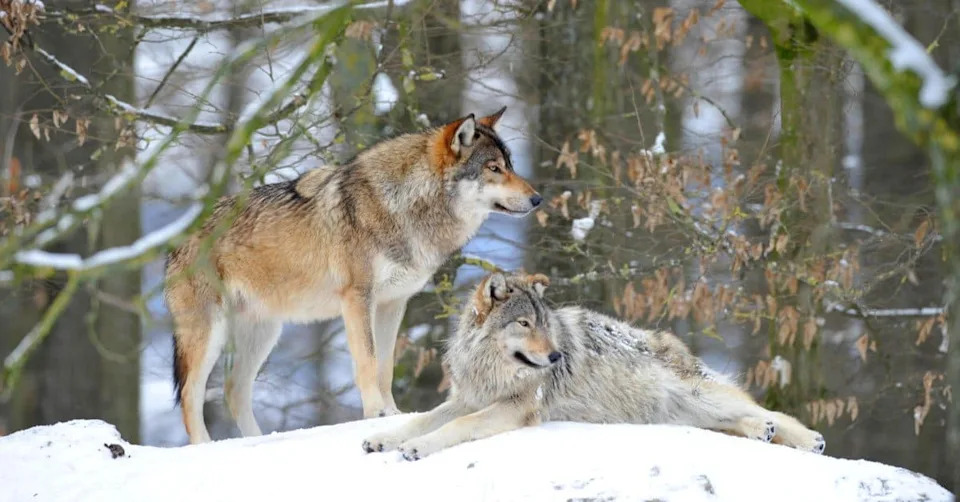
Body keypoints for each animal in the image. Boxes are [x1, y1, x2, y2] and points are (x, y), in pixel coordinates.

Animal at [164, 108, 541, 444]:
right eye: (494, 168)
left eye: (510, 165)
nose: (537, 198)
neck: (404, 206)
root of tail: (175, 237)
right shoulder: (357, 298)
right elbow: (368, 362)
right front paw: (375, 414)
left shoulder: (393, 303)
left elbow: (386, 367)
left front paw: (393, 414)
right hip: (209, 334)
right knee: (190, 397)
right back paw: (205, 446)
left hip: (265, 332)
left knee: (233, 389)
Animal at [362, 272, 825, 460]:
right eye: (524, 324)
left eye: (545, 324)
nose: (555, 356)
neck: (491, 368)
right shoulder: (468, 399)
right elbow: (420, 420)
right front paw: (383, 438)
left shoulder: (516, 408)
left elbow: (455, 427)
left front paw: (416, 449)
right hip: (678, 414)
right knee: (738, 422)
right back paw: (762, 433)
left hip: (700, 394)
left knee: (767, 410)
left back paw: (806, 439)